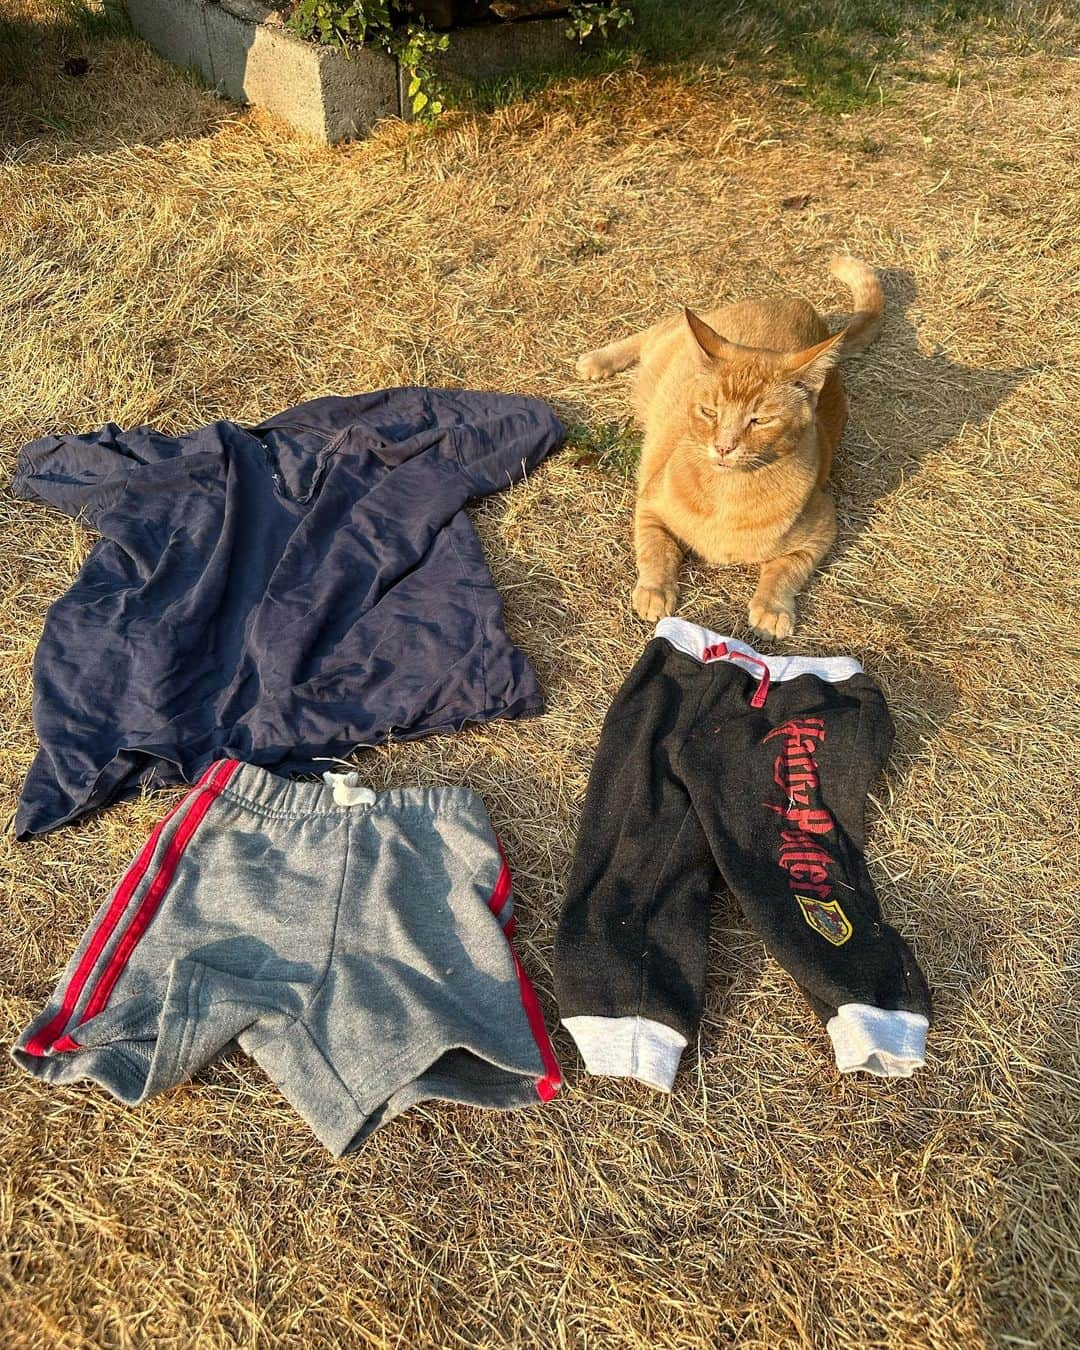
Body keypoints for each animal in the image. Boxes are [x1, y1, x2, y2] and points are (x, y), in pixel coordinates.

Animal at [577, 256, 880, 637]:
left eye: (760, 420)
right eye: (710, 411)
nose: (724, 447)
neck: (727, 495)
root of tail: (797, 304)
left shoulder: (822, 529)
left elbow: (785, 570)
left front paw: (772, 609)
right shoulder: (649, 505)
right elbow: (657, 549)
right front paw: (655, 591)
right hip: (669, 342)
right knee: (653, 331)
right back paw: (597, 360)